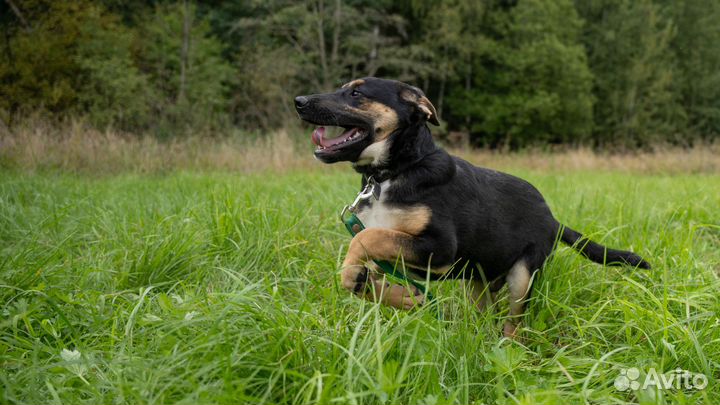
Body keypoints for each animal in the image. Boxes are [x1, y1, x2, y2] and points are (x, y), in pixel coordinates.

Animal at [292, 77, 648, 336]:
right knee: (486, 313)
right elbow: (362, 268)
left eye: (356, 93)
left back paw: (508, 349)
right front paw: (399, 297)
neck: (394, 172)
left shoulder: (439, 249)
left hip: (522, 277)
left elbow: (364, 239)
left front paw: (373, 283)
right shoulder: (392, 251)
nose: (299, 102)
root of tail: (553, 218)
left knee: (514, 322)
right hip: (478, 281)